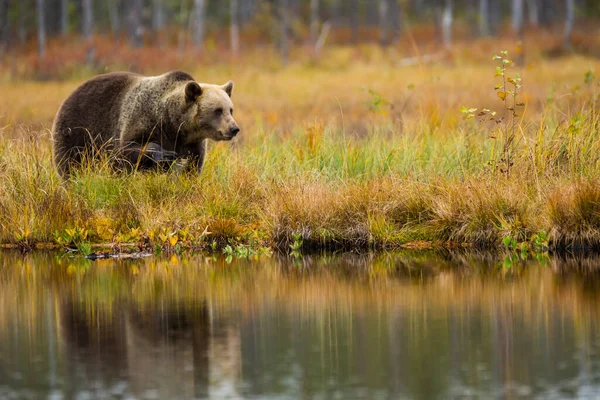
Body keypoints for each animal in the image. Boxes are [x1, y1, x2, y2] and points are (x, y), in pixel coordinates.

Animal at [52, 70, 239, 178]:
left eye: (230, 109)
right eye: (217, 110)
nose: (234, 129)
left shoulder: (192, 143)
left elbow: (192, 166)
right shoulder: (142, 119)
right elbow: (128, 148)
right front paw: (164, 155)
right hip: (77, 132)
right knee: (72, 165)